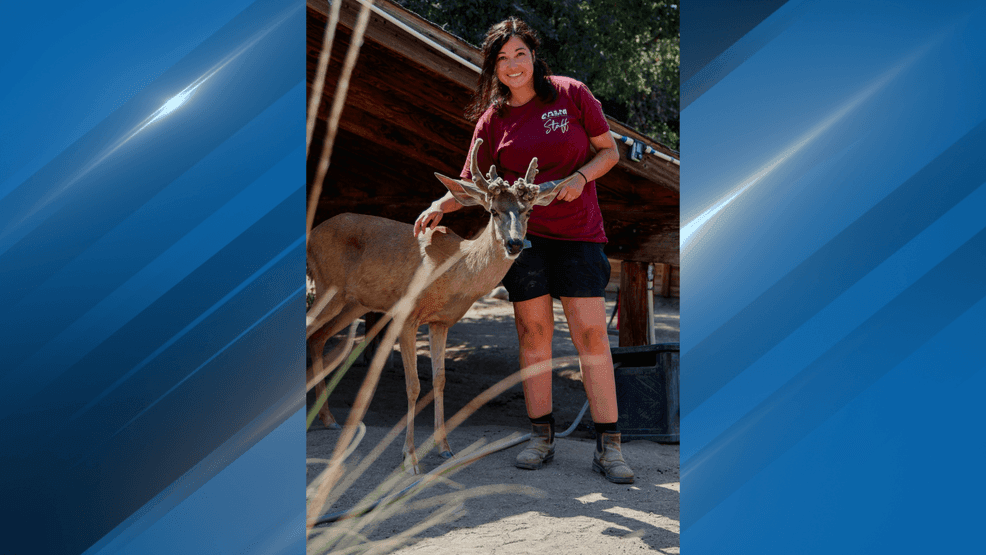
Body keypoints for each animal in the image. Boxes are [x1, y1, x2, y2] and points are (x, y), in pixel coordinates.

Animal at [305, 138, 576, 474]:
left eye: (527, 212)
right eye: (493, 210)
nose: (514, 244)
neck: (455, 270)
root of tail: (310, 236)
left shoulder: (440, 322)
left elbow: (439, 379)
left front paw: (444, 448)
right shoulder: (406, 314)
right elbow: (413, 385)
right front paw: (410, 459)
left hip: (353, 303)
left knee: (317, 338)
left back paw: (327, 418)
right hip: (327, 287)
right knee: (306, 330)